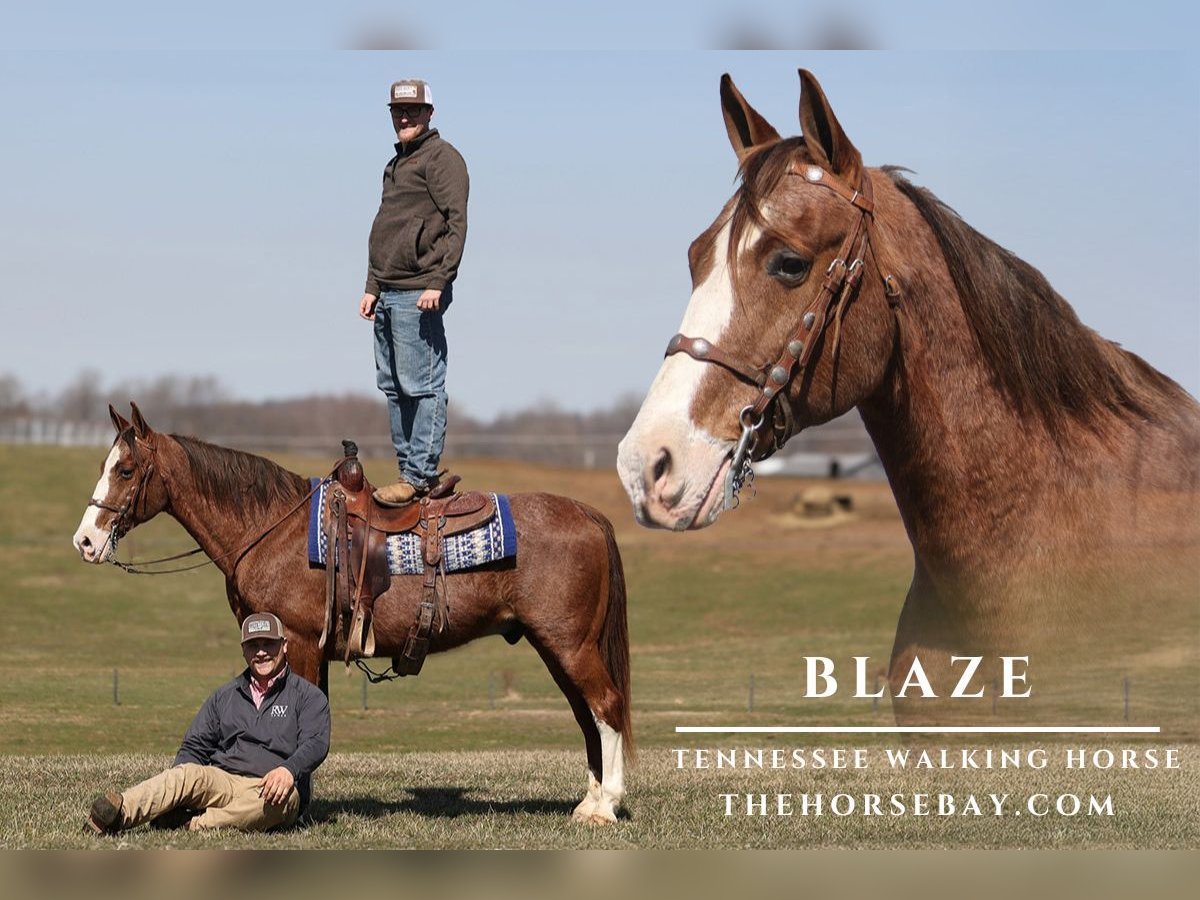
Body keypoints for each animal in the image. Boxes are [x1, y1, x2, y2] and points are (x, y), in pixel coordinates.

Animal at [72, 405, 638, 830]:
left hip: (569, 644)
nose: (85, 541)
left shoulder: (299, 641)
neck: (270, 527)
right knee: (587, 716)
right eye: (103, 464)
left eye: (125, 470)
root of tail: (589, 515)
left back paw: (605, 806)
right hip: (556, 648)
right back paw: (588, 802)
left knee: (605, 706)